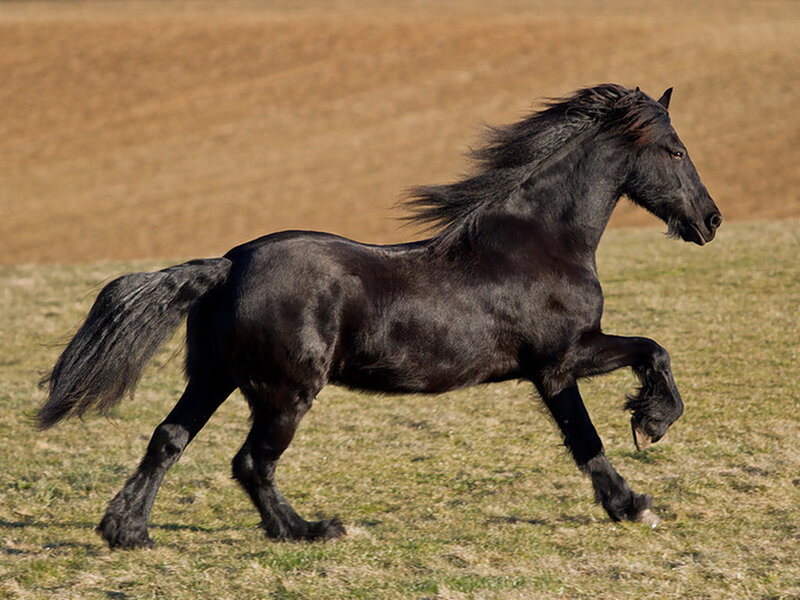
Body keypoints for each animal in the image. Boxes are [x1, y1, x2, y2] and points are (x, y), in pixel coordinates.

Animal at [38, 84, 721, 549]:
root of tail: (226, 265)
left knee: (169, 437)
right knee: (251, 462)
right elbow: (613, 402)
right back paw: (312, 530)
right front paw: (644, 458)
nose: (711, 221)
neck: (540, 240)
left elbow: (628, 379)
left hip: (215, 377)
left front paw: (639, 462)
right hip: (284, 391)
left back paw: (126, 531)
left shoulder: (564, 359)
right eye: (676, 149)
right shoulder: (560, 361)